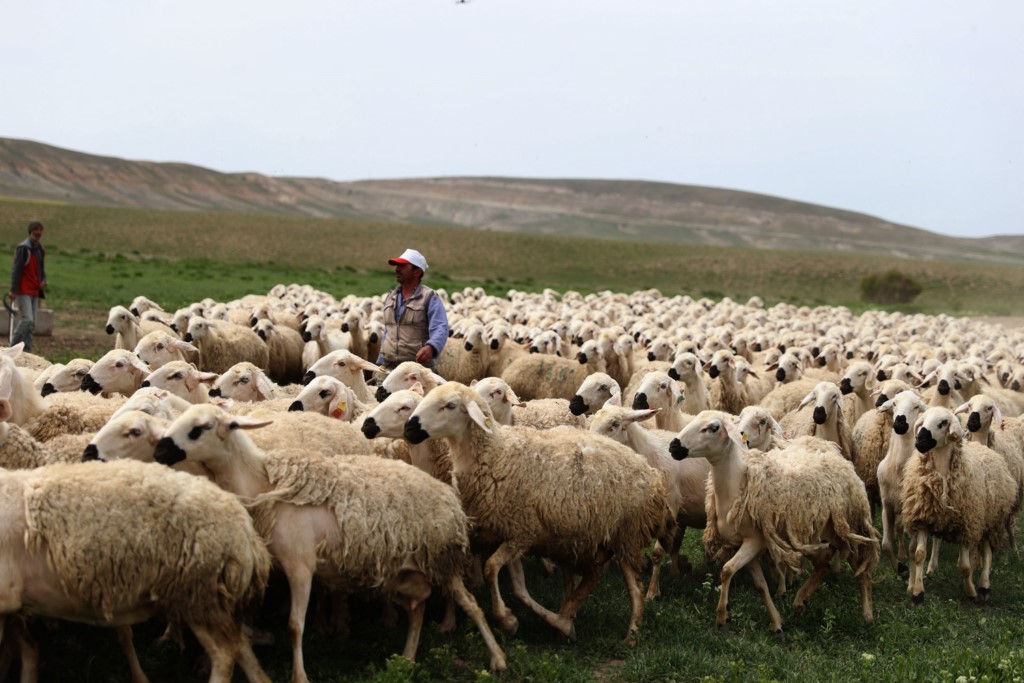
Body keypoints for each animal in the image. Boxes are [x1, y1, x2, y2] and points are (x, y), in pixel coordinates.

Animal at [0, 456, 272, 683]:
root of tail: (247, 533)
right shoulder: (14, 608)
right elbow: (25, 652)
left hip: (198, 593)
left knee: (224, 655)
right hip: (215, 599)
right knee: (241, 647)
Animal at [153, 405, 505, 679]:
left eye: (200, 428)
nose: (159, 451)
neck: (264, 484)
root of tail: (448, 496)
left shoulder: (300, 565)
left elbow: (295, 626)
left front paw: (299, 676)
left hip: (441, 559)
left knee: (470, 604)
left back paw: (498, 654)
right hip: (403, 571)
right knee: (418, 607)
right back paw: (407, 656)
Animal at [403, 385, 667, 647]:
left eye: (450, 405)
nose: (409, 429)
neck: (495, 454)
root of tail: (647, 468)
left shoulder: (522, 533)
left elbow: (491, 568)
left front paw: (507, 620)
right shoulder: (512, 533)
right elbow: (519, 589)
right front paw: (542, 622)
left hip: (625, 534)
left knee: (635, 588)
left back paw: (631, 633)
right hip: (580, 540)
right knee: (592, 576)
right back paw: (567, 613)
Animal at [671, 409, 880, 634]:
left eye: (713, 427)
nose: (673, 446)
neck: (738, 482)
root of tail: (842, 461)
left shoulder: (754, 540)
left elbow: (726, 570)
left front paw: (721, 617)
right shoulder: (744, 544)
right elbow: (759, 585)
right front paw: (777, 623)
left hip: (847, 525)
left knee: (860, 566)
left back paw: (867, 614)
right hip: (811, 534)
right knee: (823, 563)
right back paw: (800, 601)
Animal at [905, 409, 1015, 602]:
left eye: (943, 423)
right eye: (922, 420)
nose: (919, 441)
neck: (942, 476)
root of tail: (983, 447)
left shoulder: (966, 524)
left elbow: (964, 566)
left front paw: (971, 593)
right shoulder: (923, 518)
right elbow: (919, 555)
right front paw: (918, 592)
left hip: (991, 521)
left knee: (987, 552)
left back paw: (984, 586)